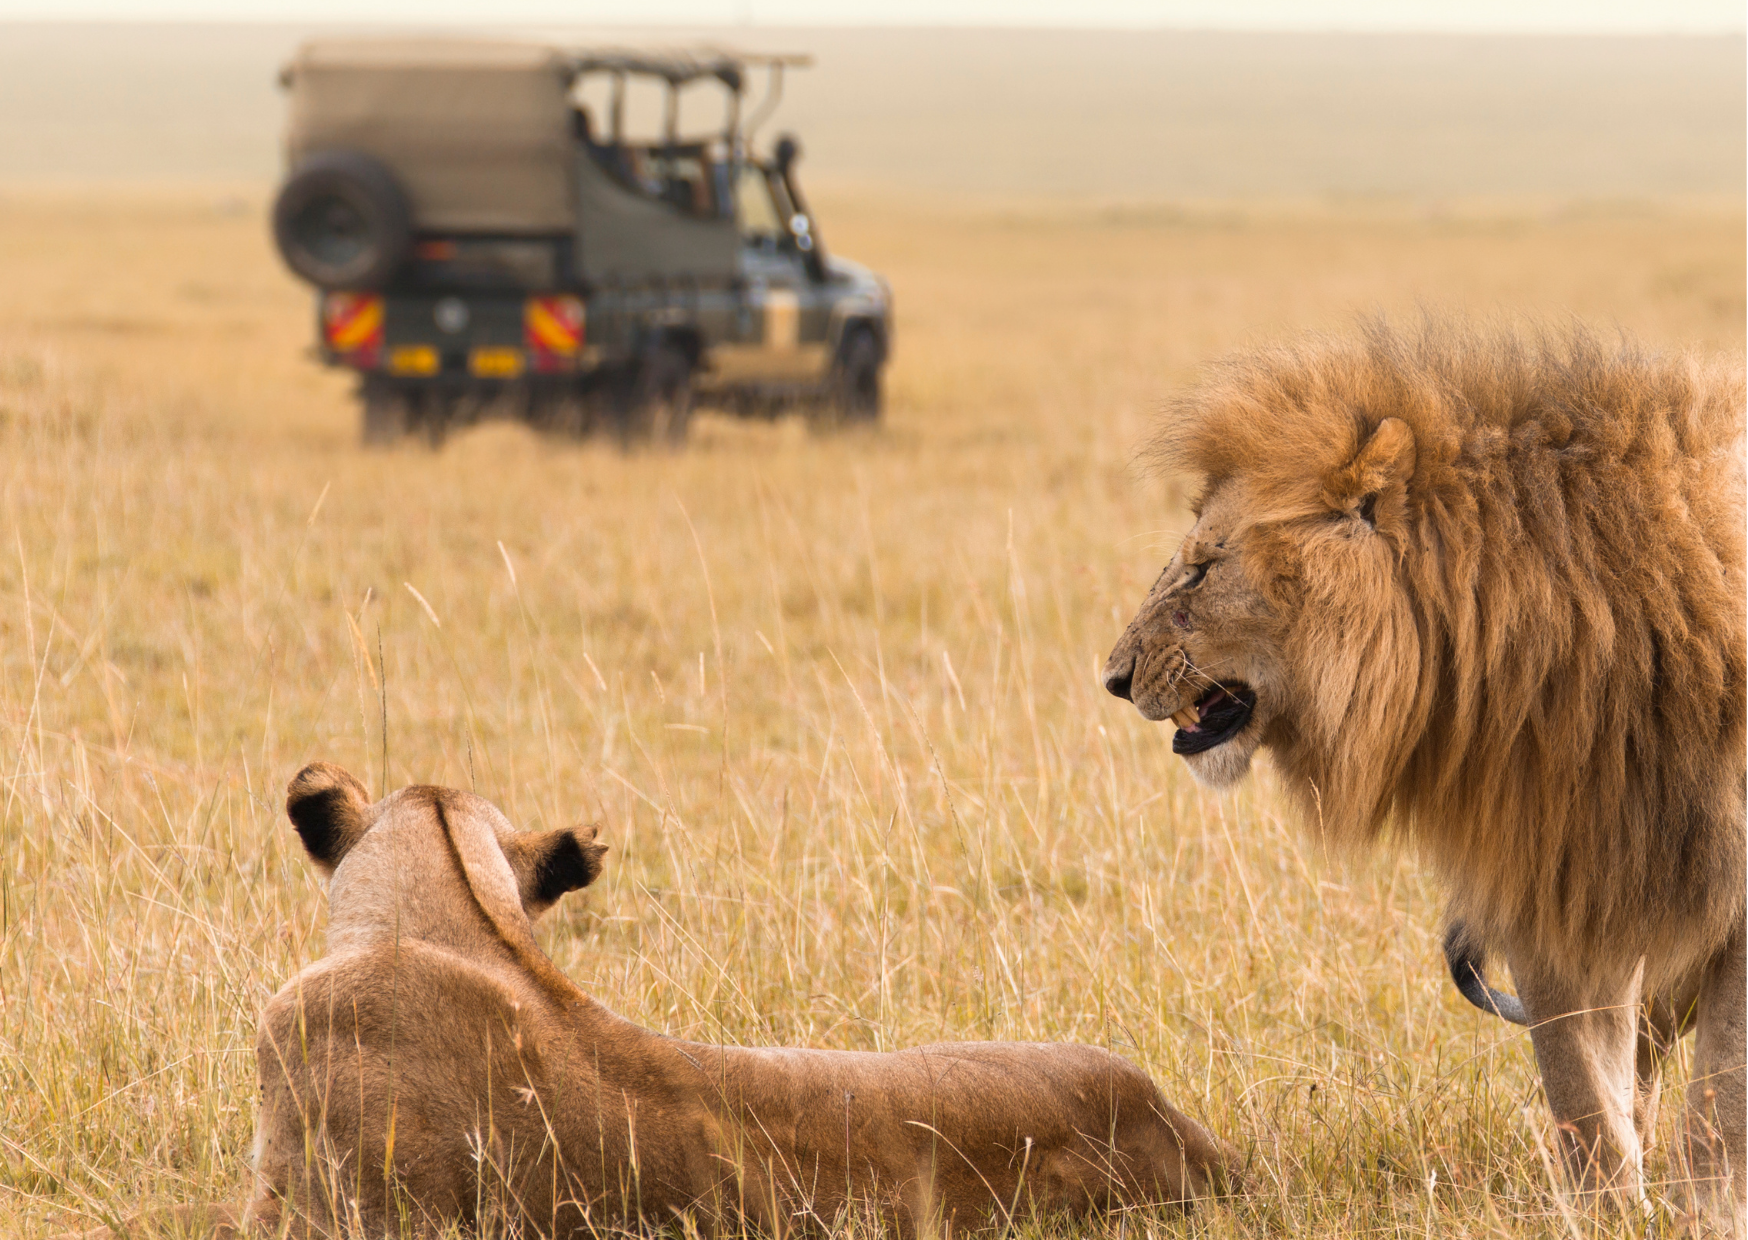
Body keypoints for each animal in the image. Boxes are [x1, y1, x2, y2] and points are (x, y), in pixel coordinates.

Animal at [1101, 319, 1744, 1227]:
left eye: (1202, 568)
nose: (1115, 678)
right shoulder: (1551, 878)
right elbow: (1582, 1091)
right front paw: (1606, 1216)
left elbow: (1724, 1099)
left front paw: (1705, 1220)